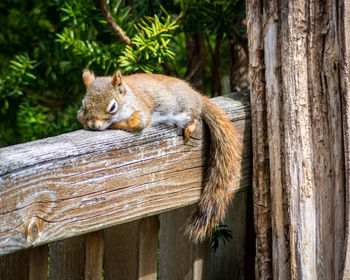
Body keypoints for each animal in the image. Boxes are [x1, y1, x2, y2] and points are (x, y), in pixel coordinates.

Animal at [77, 70, 242, 243]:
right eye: (83, 105)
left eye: (112, 107)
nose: (94, 125)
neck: (128, 97)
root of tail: (197, 95)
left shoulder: (140, 110)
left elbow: (138, 123)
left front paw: (114, 124)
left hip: (186, 106)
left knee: (194, 117)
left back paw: (189, 127)